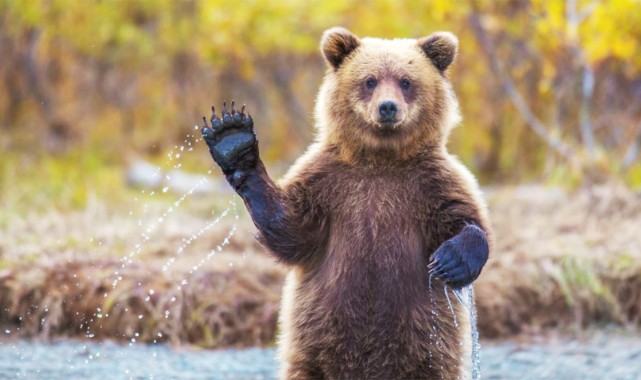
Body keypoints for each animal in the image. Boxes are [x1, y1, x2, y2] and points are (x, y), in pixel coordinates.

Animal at [200, 26, 490, 380]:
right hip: (313, 348)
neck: (381, 159)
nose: (388, 108)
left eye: (406, 81)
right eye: (370, 80)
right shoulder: (328, 182)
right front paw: (232, 138)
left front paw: (451, 260)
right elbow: (291, 229)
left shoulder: (431, 182)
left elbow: (465, 217)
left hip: (427, 351)